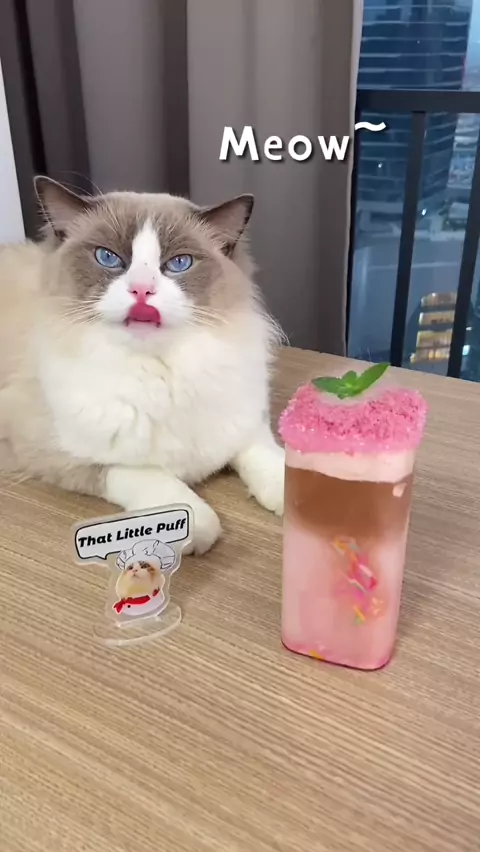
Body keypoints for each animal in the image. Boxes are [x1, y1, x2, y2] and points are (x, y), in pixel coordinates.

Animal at [0, 177, 285, 554]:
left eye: (179, 263)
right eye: (108, 258)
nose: (141, 290)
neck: (162, 371)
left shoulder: (242, 422)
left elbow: (269, 459)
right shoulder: (63, 452)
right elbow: (160, 485)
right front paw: (196, 530)